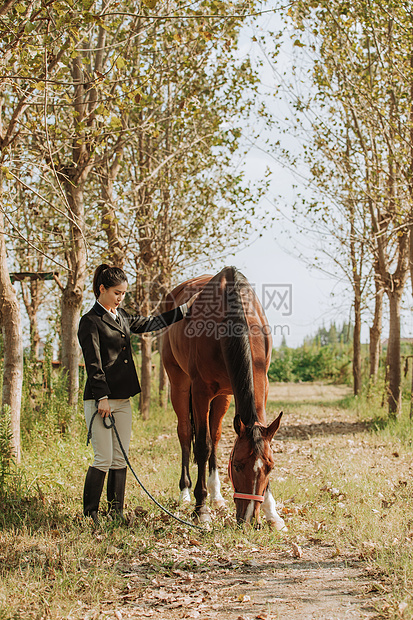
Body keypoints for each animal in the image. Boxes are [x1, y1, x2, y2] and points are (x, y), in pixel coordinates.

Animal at [163, 266, 284, 528]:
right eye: (237, 466)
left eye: (270, 468)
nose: (249, 520)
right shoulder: (200, 391)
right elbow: (202, 446)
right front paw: (201, 509)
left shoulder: (262, 386)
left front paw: (272, 512)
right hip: (179, 385)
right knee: (186, 434)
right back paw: (185, 494)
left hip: (223, 397)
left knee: (216, 436)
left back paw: (217, 495)